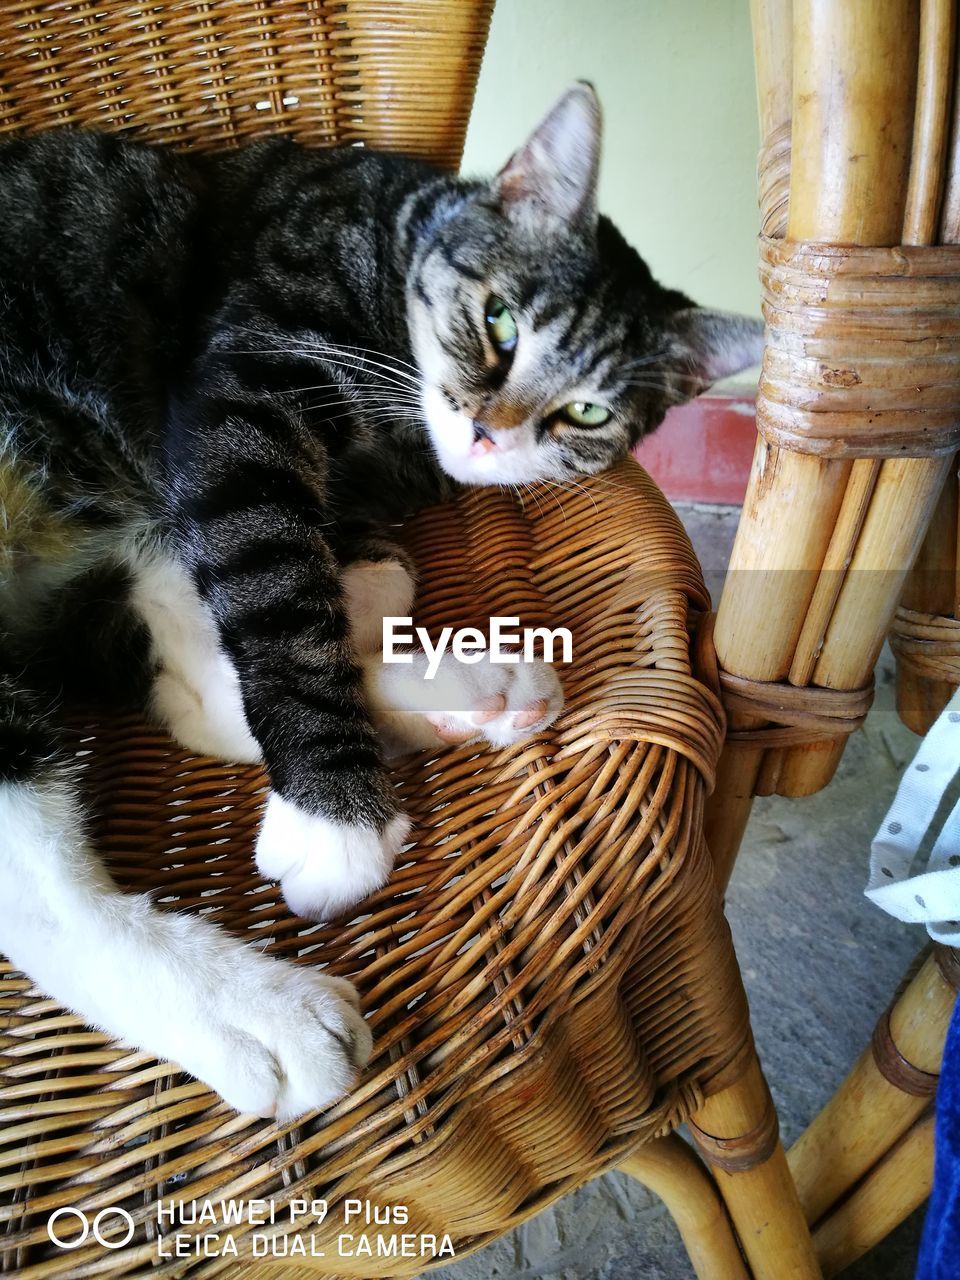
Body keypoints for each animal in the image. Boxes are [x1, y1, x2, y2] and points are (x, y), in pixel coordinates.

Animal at [0, 85, 768, 1116]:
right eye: (499, 321)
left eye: (588, 412)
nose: (489, 431)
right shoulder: (248, 379)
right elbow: (277, 584)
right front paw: (335, 821)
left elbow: (311, 579)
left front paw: (366, 598)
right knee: (48, 886)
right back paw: (255, 1009)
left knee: (174, 664)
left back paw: (465, 701)